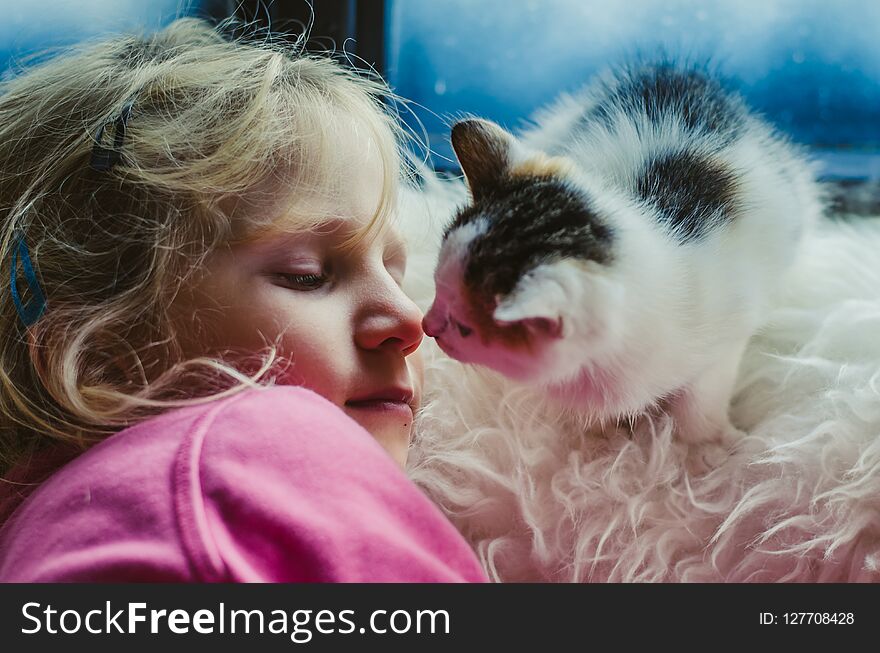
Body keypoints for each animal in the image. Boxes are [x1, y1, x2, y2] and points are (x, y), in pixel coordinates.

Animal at [422, 59, 820, 448]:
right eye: (436, 286)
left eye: (464, 327)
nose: (428, 327)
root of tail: (674, 69)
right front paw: (600, 443)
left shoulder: (724, 341)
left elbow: (700, 402)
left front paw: (714, 445)